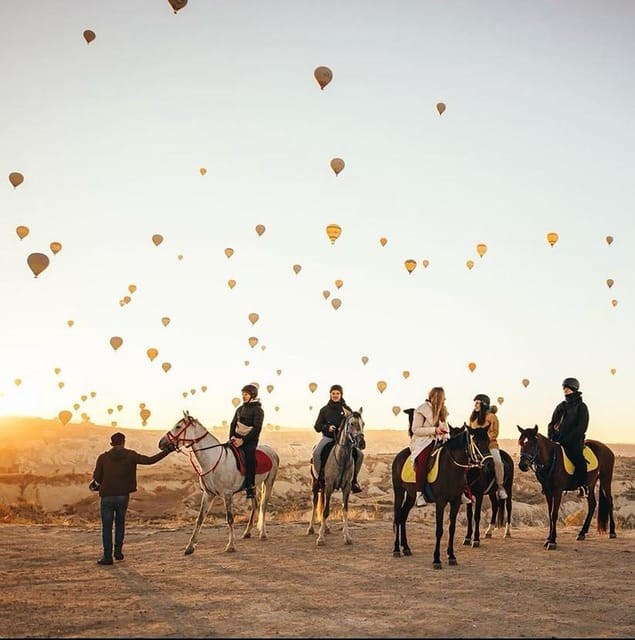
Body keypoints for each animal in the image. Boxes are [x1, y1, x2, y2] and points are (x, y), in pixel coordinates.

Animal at [158, 412, 278, 552]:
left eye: (178, 426)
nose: (161, 443)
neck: (213, 460)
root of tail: (271, 451)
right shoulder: (208, 494)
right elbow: (200, 518)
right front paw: (190, 546)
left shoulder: (227, 494)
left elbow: (230, 519)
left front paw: (230, 545)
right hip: (252, 487)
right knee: (256, 505)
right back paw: (247, 533)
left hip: (269, 483)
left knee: (263, 506)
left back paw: (263, 533)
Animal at [308, 410, 368, 544]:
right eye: (351, 423)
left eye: (363, 423)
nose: (361, 443)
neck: (342, 458)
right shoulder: (330, 487)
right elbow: (325, 511)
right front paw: (320, 538)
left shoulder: (346, 488)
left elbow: (344, 510)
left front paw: (347, 537)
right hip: (316, 483)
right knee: (315, 503)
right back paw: (311, 529)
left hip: (324, 487)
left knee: (322, 502)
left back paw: (326, 528)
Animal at [392, 422, 492, 568]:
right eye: (477, 442)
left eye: (489, 441)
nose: (489, 464)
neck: (451, 468)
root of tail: (399, 456)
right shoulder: (440, 502)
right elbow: (439, 530)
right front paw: (436, 559)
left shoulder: (455, 502)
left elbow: (452, 528)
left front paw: (451, 556)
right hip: (399, 491)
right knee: (398, 516)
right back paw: (396, 549)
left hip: (411, 495)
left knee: (403, 516)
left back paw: (405, 547)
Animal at [516, 424, 616, 552]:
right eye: (521, 443)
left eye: (532, 444)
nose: (522, 465)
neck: (551, 460)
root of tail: (607, 449)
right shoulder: (548, 492)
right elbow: (549, 514)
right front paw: (548, 538)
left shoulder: (558, 491)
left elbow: (554, 514)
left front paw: (552, 541)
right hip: (590, 484)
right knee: (592, 504)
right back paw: (582, 533)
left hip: (605, 479)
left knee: (609, 502)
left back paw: (612, 532)